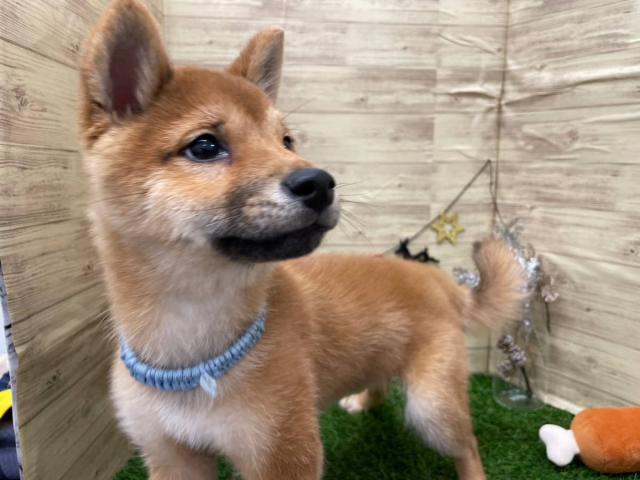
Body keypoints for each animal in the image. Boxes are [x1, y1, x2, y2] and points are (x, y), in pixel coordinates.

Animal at [79, 1, 526, 478]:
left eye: (286, 141)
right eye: (204, 146)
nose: (321, 183)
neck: (192, 353)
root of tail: (436, 280)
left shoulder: (283, 452)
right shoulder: (172, 457)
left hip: (432, 407)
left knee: (468, 446)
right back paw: (364, 399)